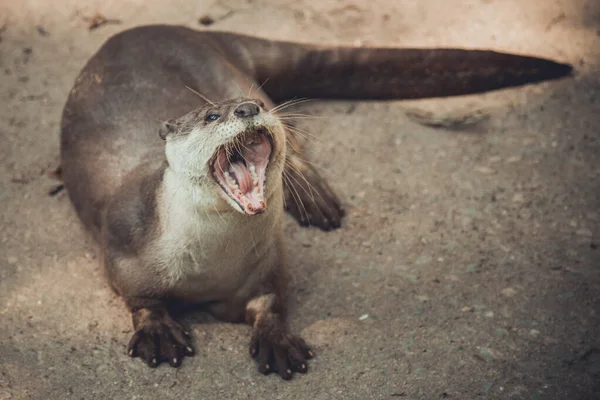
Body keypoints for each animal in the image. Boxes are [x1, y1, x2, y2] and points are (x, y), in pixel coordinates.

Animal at [59, 23, 572, 380]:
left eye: (239, 108)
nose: (245, 108)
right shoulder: (122, 243)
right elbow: (138, 295)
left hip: (233, 75)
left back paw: (315, 199)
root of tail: (192, 29)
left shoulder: (267, 263)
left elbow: (271, 301)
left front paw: (277, 341)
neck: (206, 263)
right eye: (210, 116)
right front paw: (158, 331)